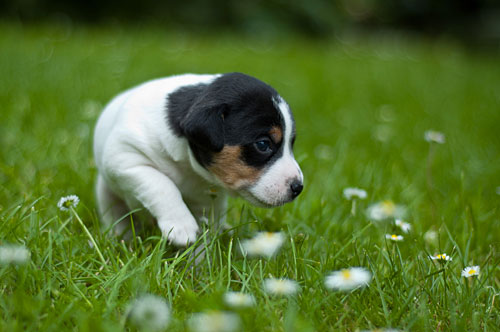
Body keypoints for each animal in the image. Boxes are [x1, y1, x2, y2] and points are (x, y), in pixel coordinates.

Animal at [94, 72, 304, 245]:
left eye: (291, 143)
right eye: (262, 144)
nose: (298, 187)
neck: (188, 166)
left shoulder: (206, 204)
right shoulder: (125, 158)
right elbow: (161, 184)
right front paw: (180, 225)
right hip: (106, 193)